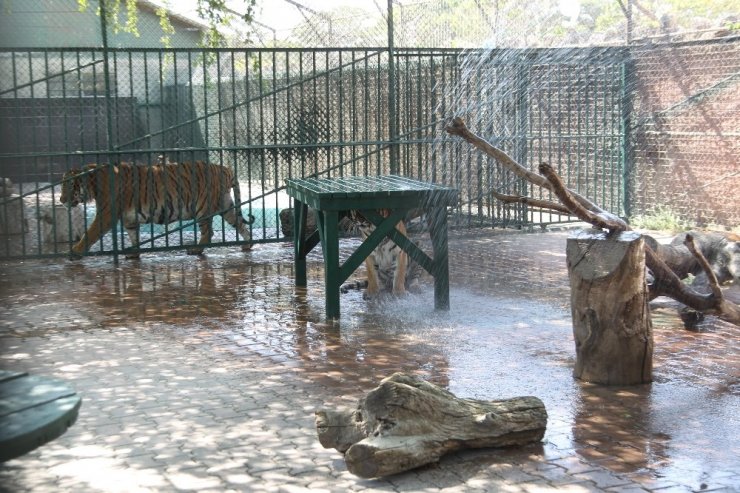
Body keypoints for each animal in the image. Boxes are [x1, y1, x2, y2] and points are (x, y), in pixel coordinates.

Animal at [59, 160, 254, 260]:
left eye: (68, 186)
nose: (60, 200)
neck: (93, 184)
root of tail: (225, 168)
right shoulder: (129, 219)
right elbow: (133, 235)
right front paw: (134, 253)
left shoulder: (106, 214)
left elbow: (89, 234)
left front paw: (75, 251)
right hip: (226, 206)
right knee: (240, 224)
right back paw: (247, 244)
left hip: (203, 207)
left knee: (209, 232)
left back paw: (195, 250)